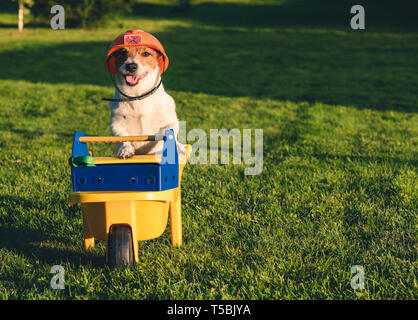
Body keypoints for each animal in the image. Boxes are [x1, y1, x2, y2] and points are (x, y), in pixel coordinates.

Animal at [103, 30, 182, 158]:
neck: (138, 96)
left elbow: (168, 132)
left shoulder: (171, 122)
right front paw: (126, 149)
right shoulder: (117, 124)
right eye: (123, 52)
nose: (131, 66)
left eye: (146, 53)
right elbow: (123, 137)